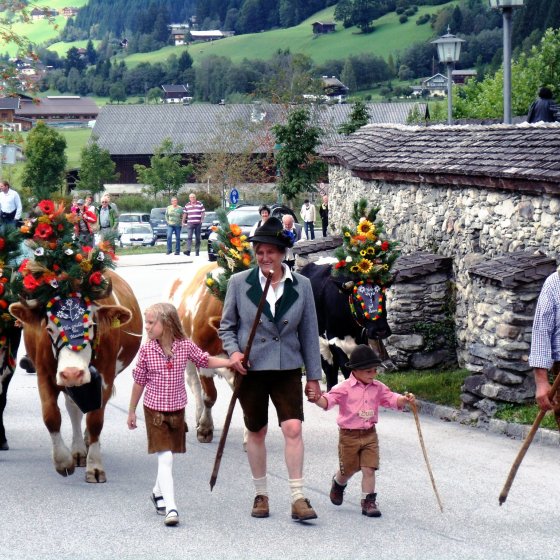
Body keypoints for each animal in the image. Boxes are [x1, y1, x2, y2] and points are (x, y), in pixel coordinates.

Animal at [9, 272, 142, 482]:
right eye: (49, 329)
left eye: (92, 325)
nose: (72, 372)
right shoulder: (45, 376)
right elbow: (51, 416)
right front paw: (63, 461)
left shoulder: (105, 378)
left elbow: (95, 420)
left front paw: (94, 467)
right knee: (73, 409)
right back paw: (78, 450)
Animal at [302, 262, 394, 390]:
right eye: (356, 298)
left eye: (383, 295)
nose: (380, 331)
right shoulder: (333, 340)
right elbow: (347, 369)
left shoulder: (362, 339)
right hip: (320, 344)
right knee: (330, 371)